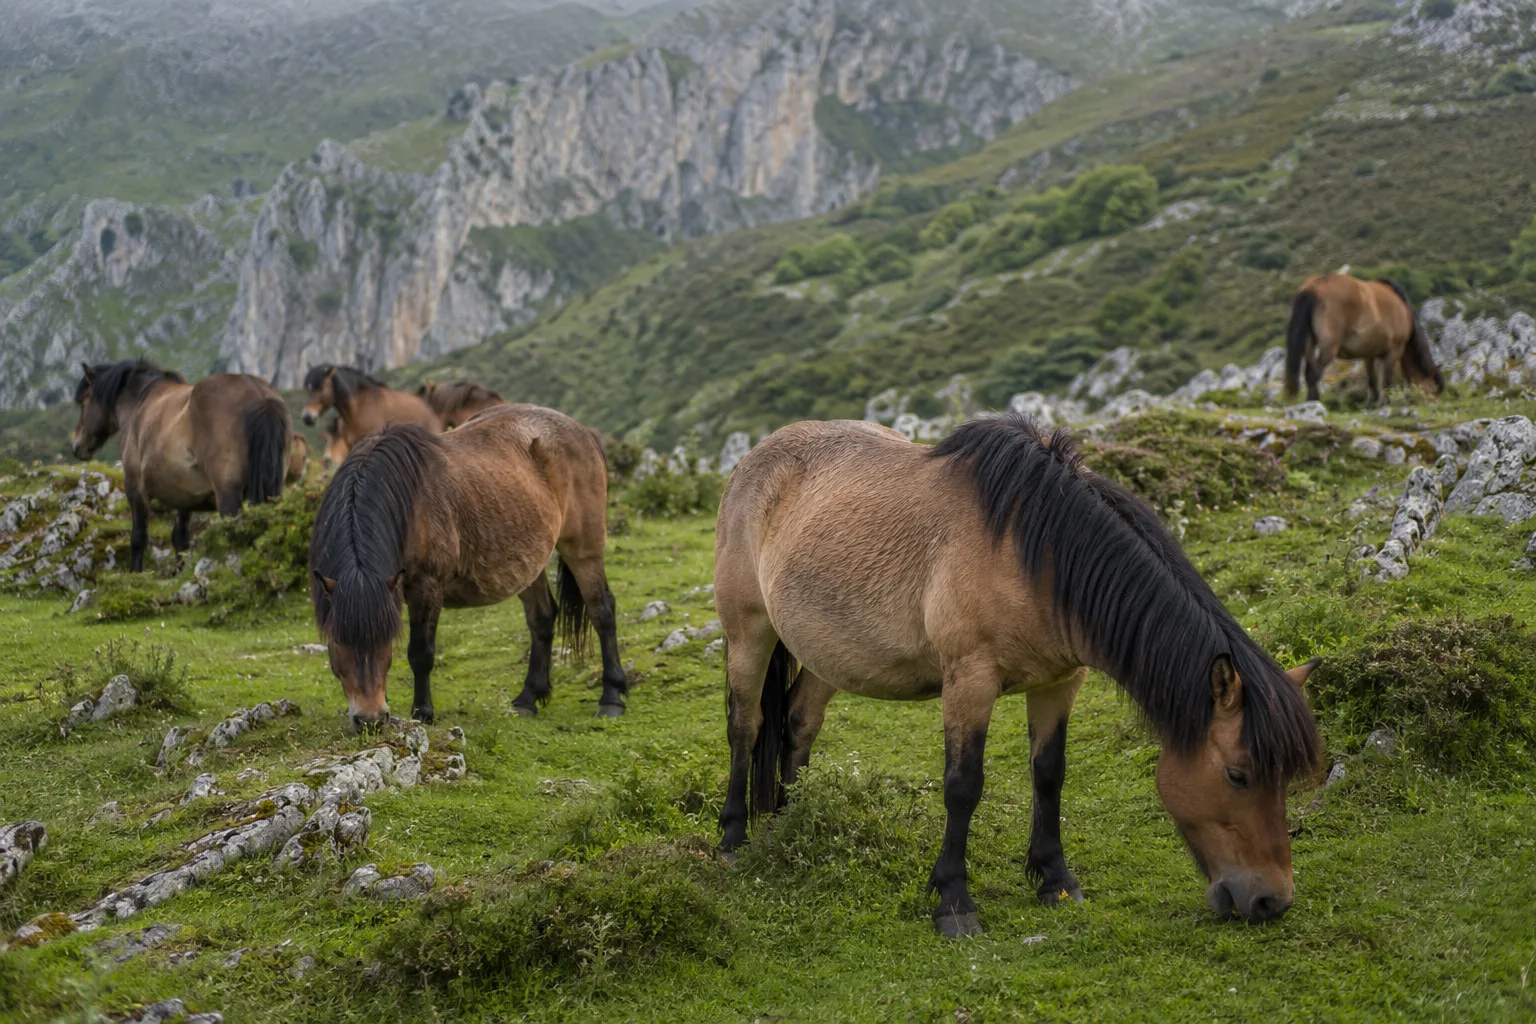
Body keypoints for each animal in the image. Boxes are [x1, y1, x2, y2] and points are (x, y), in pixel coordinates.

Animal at [71, 360, 291, 572]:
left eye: (83, 402)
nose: (76, 446)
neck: (140, 404)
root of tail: (261, 398)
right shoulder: (185, 497)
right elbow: (180, 539)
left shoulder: (135, 488)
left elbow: (138, 538)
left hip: (229, 497)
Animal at [308, 404, 629, 730]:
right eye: (338, 640)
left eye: (387, 638)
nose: (371, 719)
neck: (404, 503)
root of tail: (583, 432)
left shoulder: (427, 587)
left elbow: (420, 653)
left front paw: (423, 713)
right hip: (529, 562)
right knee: (542, 618)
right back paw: (527, 699)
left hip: (583, 549)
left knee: (602, 610)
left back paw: (611, 698)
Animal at [714, 416, 1321, 937]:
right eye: (1238, 774)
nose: (1272, 900)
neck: (1037, 554)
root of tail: (754, 459)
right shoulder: (970, 680)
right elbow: (963, 785)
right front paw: (954, 903)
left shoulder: (1059, 682)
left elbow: (1049, 774)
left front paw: (1055, 881)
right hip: (748, 634)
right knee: (747, 726)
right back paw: (733, 837)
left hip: (828, 652)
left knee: (798, 724)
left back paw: (790, 825)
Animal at [1285, 273, 1445, 405]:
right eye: (1432, 389)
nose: (1433, 405)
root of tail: (1314, 287)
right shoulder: (1395, 349)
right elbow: (1386, 380)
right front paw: (1384, 402)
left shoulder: (1369, 354)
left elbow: (1372, 380)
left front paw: (1371, 403)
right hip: (1329, 347)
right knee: (1314, 372)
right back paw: (1313, 401)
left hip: (1309, 344)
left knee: (1309, 371)